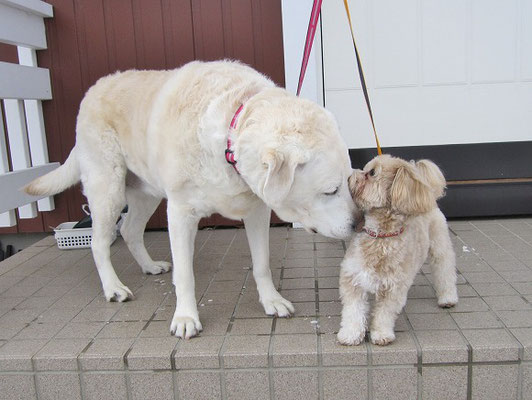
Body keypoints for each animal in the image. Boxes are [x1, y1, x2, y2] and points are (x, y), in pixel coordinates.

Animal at [23, 60, 358, 338]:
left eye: (349, 181)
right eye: (331, 190)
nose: (358, 223)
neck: (229, 134)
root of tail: (96, 87)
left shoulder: (257, 211)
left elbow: (261, 263)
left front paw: (271, 300)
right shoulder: (181, 213)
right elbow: (185, 274)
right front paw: (185, 318)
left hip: (145, 193)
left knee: (130, 230)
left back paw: (149, 266)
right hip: (109, 190)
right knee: (99, 242)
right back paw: (114, 287)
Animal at [338, 155, 460, 346]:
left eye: (372, 173)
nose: (350, 176)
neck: (380, 237)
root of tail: (430, 195)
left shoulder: (394, 288)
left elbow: (384, 313)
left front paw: (381, 334)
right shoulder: (353, 278)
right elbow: (353, 311)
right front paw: (350, 334)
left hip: (440, 246)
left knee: (445, 272)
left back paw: (447, 298)